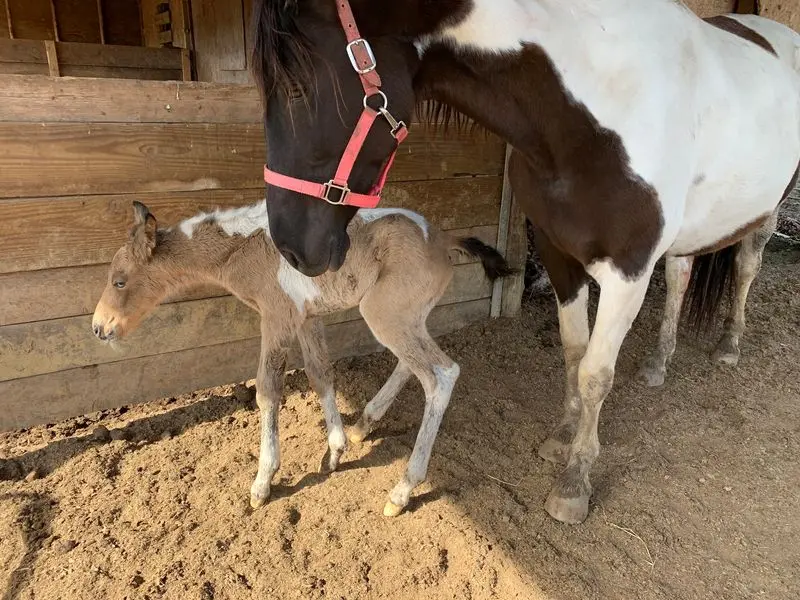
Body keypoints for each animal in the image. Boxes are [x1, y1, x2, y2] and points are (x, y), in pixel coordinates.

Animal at [91, 200, 513, 516]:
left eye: (119, 281)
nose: (99, 328)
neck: (243, 247)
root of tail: (442, 238)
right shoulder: (308, 316)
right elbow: (320, 372)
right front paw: (337, 449)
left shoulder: (277, 317)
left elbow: (267, 391)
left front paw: (263, 482)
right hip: (408, 316)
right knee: (411, 363)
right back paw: (364, 425)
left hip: (386, 313)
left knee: (441, 374)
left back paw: (402, 490)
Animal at [251, 0, 800, 524]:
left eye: (298, 89)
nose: (290, 245)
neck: (595, 117)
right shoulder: (560, 254)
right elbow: (575, 352)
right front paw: (562, 437)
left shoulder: (628, 271)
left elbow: (597, 373)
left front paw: (574, 484)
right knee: (682, 274)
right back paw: (658, 362)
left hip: (767, 214)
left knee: (746, 268)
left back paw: (729, 344)